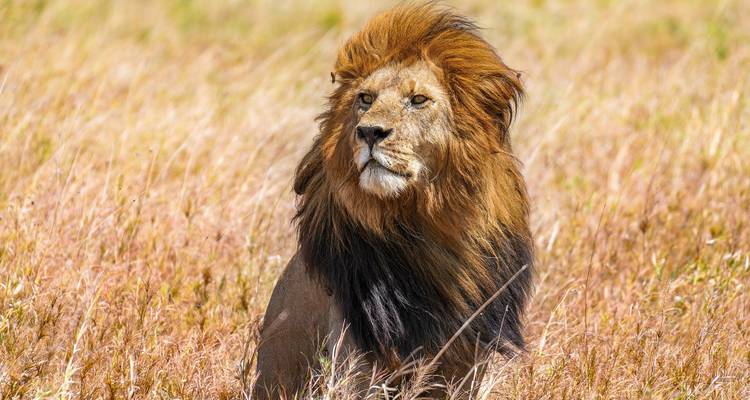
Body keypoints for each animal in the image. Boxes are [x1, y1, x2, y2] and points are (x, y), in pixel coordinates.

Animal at [253, 3, 533, 398]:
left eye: (418, 100)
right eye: (365, 99)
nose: (369, 132)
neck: (424, 225)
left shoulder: (467, 361)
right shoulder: (357, 358)